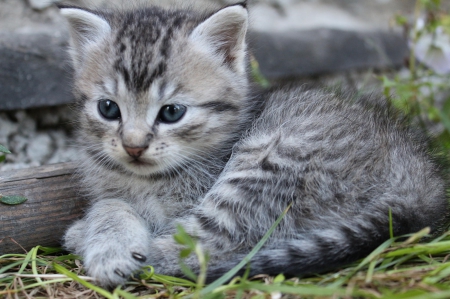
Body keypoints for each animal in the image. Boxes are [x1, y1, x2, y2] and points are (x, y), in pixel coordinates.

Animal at [60, 2, 450, 288]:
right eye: (108, 109)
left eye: (171, 112)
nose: (134, 147)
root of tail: (420, 182)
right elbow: (111, 201)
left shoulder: (184, 200)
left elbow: (114, 206)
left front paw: (105, 247)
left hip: (272, 158)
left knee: (207, 247)